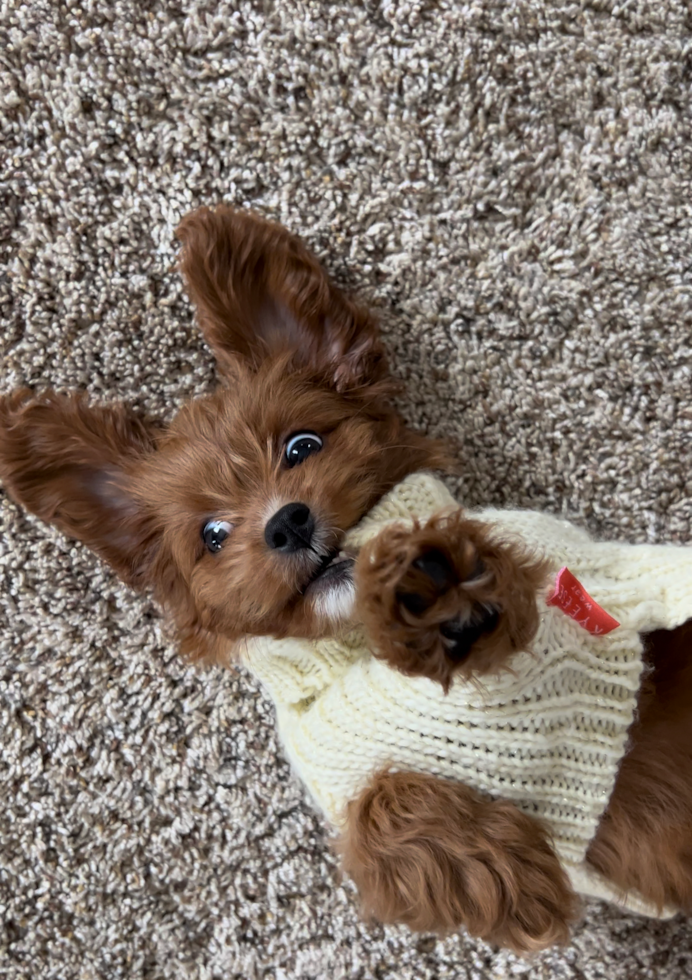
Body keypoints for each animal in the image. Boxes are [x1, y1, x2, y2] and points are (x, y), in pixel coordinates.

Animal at [1, 207, 692, 948]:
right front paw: (514, 875)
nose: (286, 523)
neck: (355, 649)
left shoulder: (575, 613)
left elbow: (517, 580)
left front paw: (437, 586)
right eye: (212, 535)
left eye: (302, 446)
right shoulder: (340, 780)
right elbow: (379, 809)